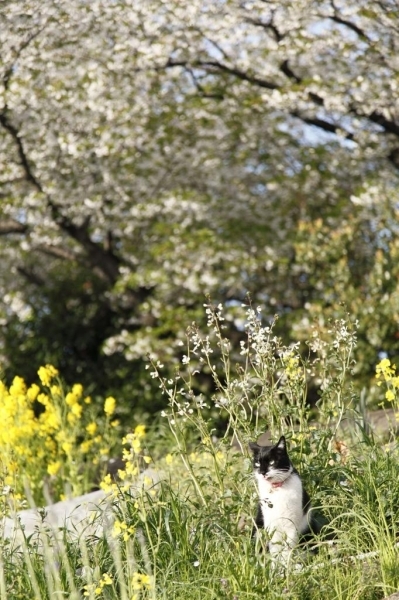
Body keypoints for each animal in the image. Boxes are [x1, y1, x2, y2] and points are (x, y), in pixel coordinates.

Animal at [250, 434, 318, 564]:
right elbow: (275, 549)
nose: (262, 472)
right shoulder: (271, 525)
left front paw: (285, 567)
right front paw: (276, 567)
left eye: (272, 462)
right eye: (257, 464)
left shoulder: (291, 524)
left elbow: (288, 549)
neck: (277, 489)